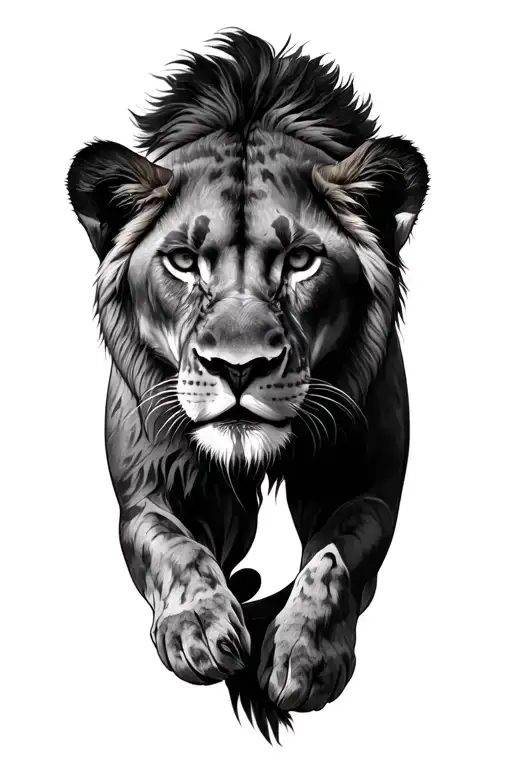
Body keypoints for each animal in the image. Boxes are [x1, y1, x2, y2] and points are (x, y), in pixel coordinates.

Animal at [66, 30, 428, 742]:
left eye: (300, 260)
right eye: (183, 261)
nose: (238, 368)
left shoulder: (366, 483)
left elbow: (337, 555)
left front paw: (303, 654)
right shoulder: (146, 486)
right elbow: (172, 547)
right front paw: (201, 629)